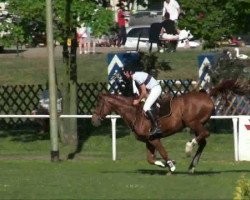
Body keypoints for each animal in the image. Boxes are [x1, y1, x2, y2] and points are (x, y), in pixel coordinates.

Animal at [92, 79, 238, 173]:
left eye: (98, 104)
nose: (93, 121)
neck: (135, 113)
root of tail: (206, 94)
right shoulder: (149, 141)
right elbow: (150, 159)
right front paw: (163, 164)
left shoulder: (155, 138)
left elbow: (163, 152)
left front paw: (171, 166)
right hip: (197, 124)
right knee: (203, 141)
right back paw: (192, 166)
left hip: (193, 122)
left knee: (204, 135)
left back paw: (188, 148)